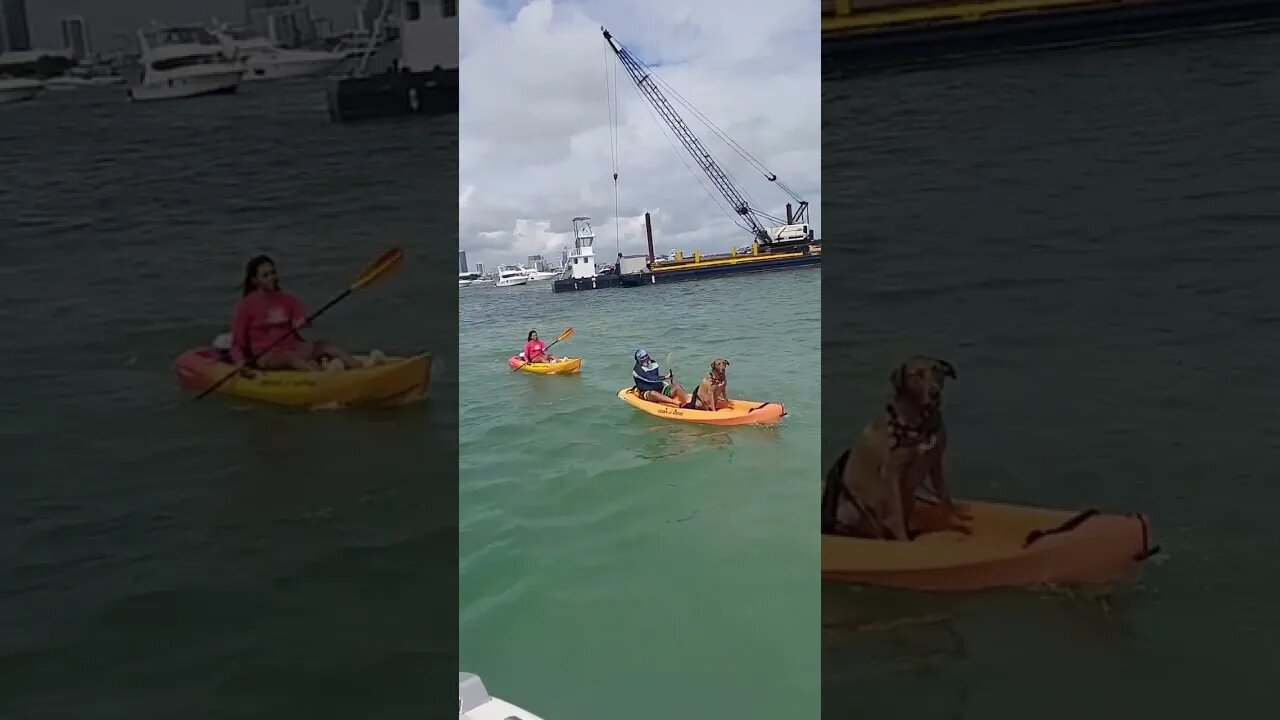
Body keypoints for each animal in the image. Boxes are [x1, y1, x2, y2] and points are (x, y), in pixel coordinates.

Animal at [819, 353, 967, 538]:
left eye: (937, 370)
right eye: (917, 374)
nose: (934, 392)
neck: (920, 423)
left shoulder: (935, 462)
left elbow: (944, 495)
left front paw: (954, 518)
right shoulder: (892, 473)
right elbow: (896, 514)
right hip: (855, 506)